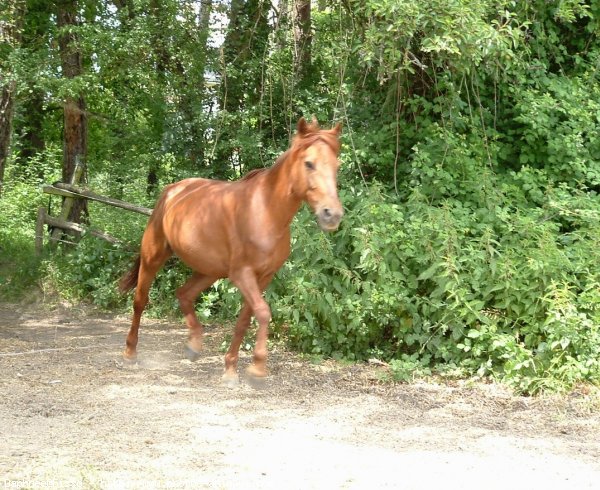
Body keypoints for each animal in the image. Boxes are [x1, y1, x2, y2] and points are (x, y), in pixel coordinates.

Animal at [118, 117, 342, 382]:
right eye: (309, 163)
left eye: (337, 166)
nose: (332, 214)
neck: (265, 212)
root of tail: (171, 191)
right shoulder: (242, 274)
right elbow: (263, 313)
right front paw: (257, 369)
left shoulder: (263, 277)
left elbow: (245, 319)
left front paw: (231, 369)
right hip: (153, 257)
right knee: (140, 301)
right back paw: (130, 353)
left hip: (209, 270)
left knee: (183, 294)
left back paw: (194, 346)